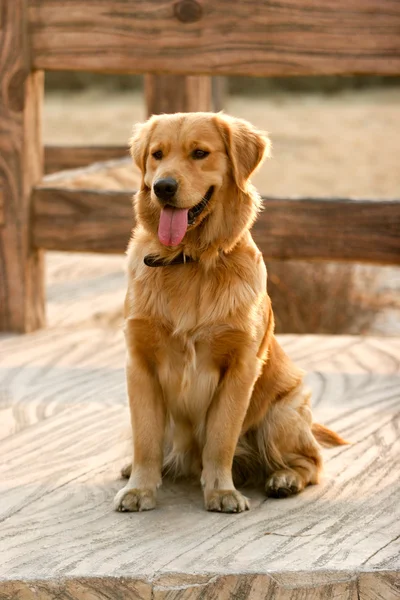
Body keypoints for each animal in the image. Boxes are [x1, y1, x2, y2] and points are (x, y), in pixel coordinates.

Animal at [113, 110, 346, 512]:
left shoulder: (240, 367)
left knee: (311, 462)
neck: (188, 261)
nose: (163, 187)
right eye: (157, 154)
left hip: (281, 415)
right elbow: (145, 438)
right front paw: (139, 489)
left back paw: (284, 478)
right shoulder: (140, 363)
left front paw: (222, 491)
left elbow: (221, 438)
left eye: (200, 153)